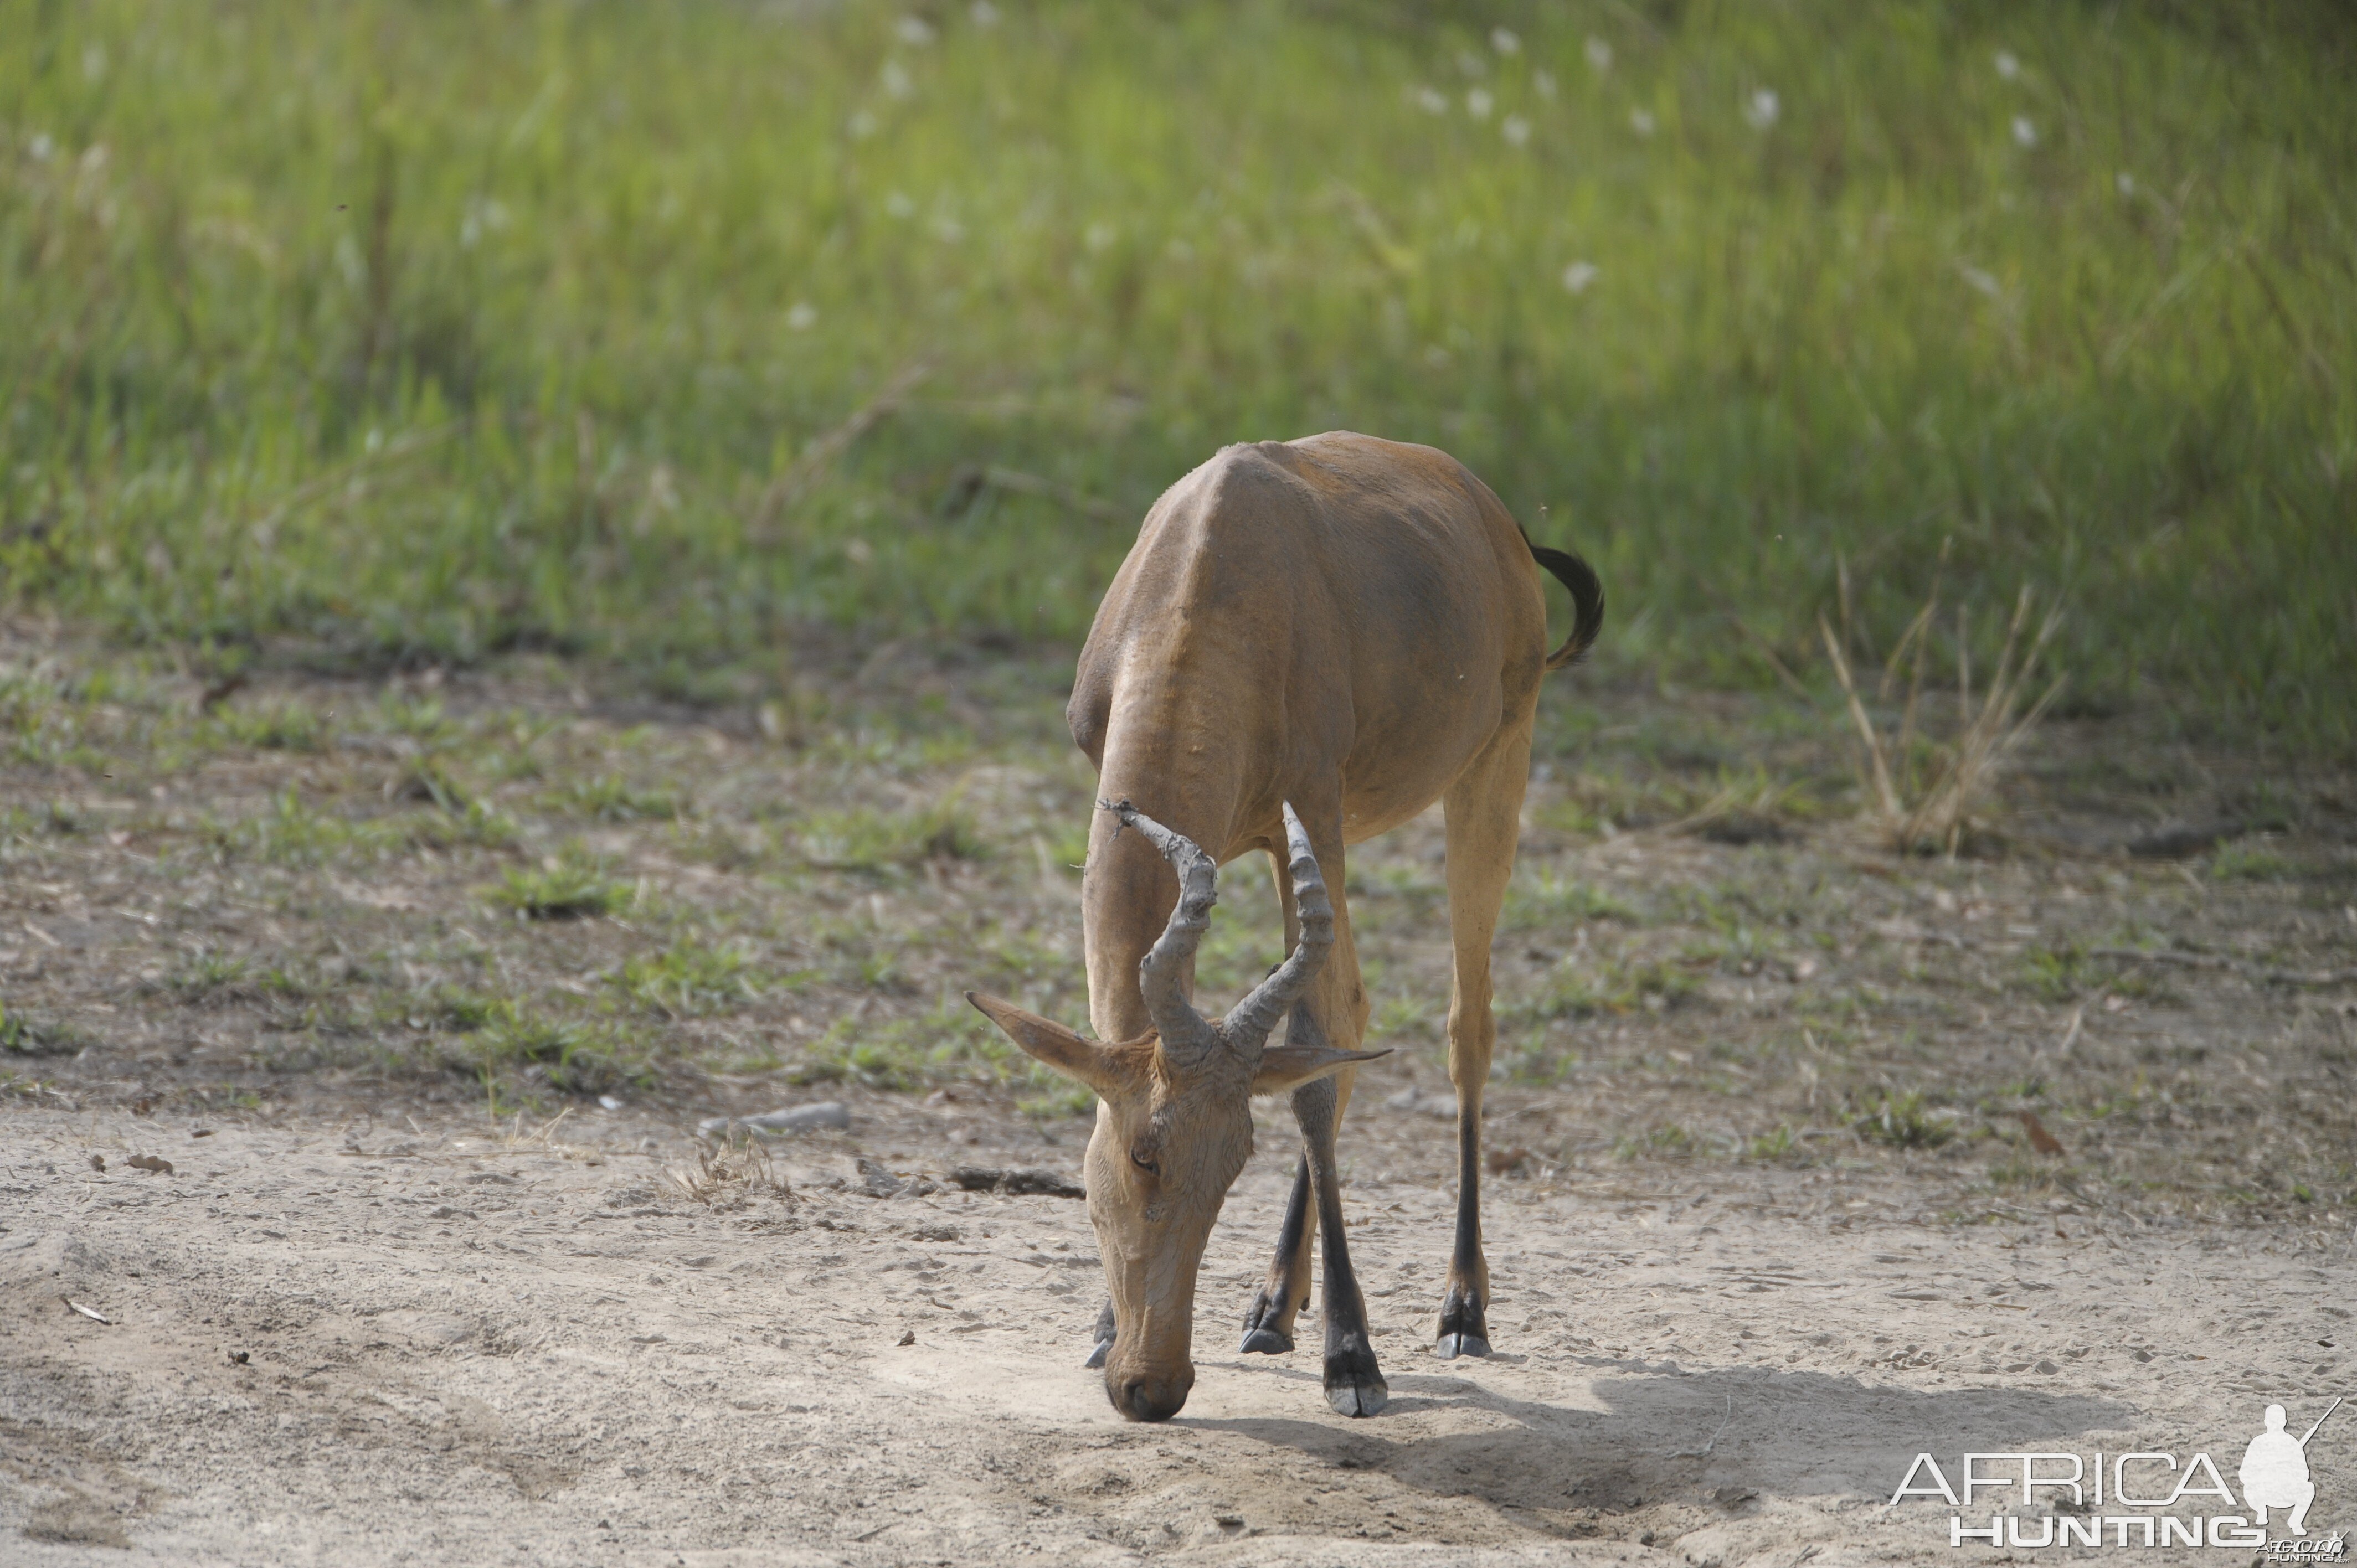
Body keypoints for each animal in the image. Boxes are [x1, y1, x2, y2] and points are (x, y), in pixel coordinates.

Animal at [961, 431, 1603, 1415]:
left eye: (1235, 1161)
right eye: (1144, 1156)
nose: (1153, 1387)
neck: (1214, 567)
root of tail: (1491, 512)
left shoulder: (1316, 812)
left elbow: (1309, 1071)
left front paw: (1354, 1360)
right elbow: (1305, 1049)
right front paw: (1106, 1326)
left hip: (1495, 762)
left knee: (1463, 1025)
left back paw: (1461, 1310)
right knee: (1354, 1016)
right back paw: (1272, 1307)